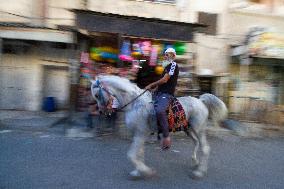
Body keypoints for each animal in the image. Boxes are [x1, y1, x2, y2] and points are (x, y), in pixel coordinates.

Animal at [91, 74, 229, 179]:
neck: (134, 104)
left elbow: (131, 154)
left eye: (97, 95)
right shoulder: (139, 134)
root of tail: (201, 101)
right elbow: (139, 153)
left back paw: (199, 172)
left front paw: (145, 171)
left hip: (198, 129)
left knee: (205, 148)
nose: (101, 111)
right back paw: (195, 162)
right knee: (196, 142)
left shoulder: (141, 133)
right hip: (188, 129)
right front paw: (138, 172)